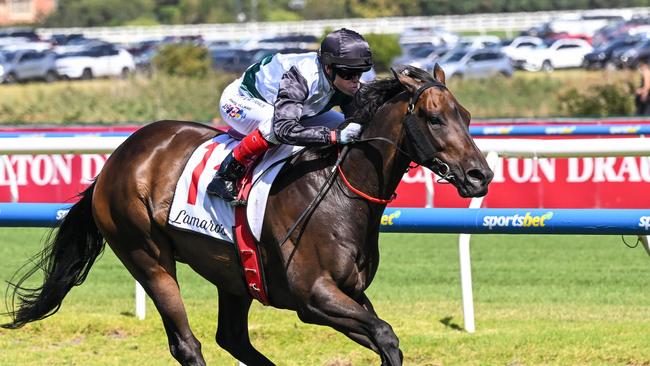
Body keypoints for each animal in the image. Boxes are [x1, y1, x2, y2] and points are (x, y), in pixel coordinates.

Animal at [2, 66, 492, 366]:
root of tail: (117, 158)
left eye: (466, 115)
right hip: (147, 256)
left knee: (232, 338)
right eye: (433, 118)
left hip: (233, 273)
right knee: (187, 343)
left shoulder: (349, 294)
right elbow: (386, 334)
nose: (480, 175)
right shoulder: (314, 299)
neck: (337, 190)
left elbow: (384, 338)